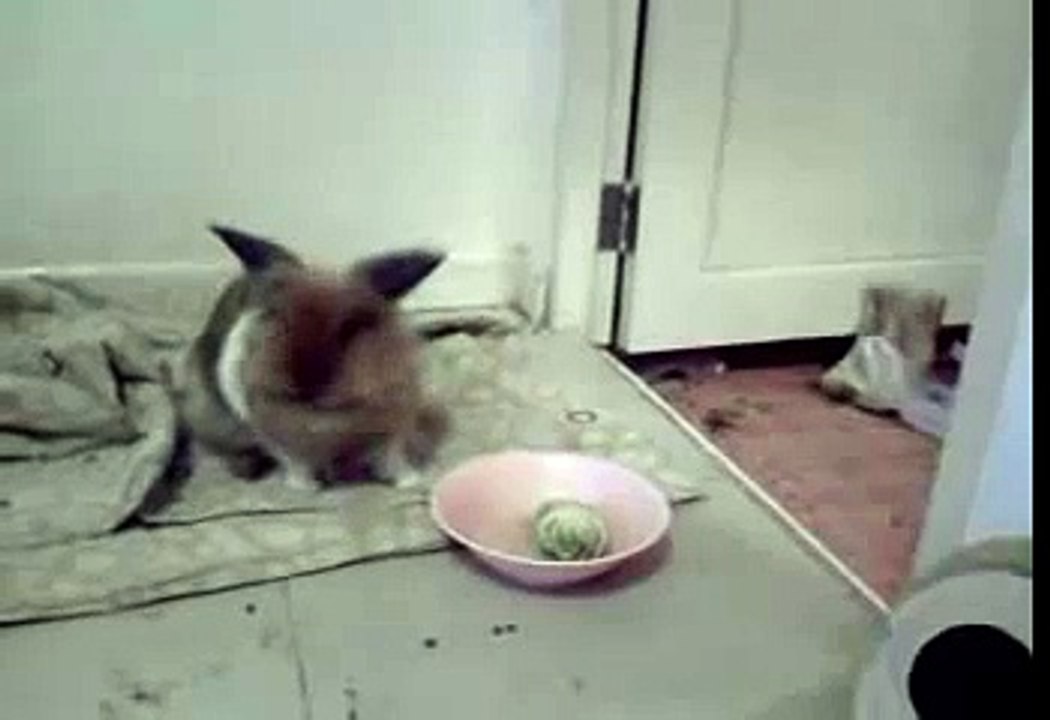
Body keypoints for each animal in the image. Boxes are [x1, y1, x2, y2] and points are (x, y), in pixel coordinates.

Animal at [173, 225, 449, 490]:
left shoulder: (392, 428)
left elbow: (391, 459)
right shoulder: (274, 435)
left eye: (351, 327)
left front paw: (410, 481)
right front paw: (306, 488)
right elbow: (296, 464)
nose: (307, 385)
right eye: (278, 316)